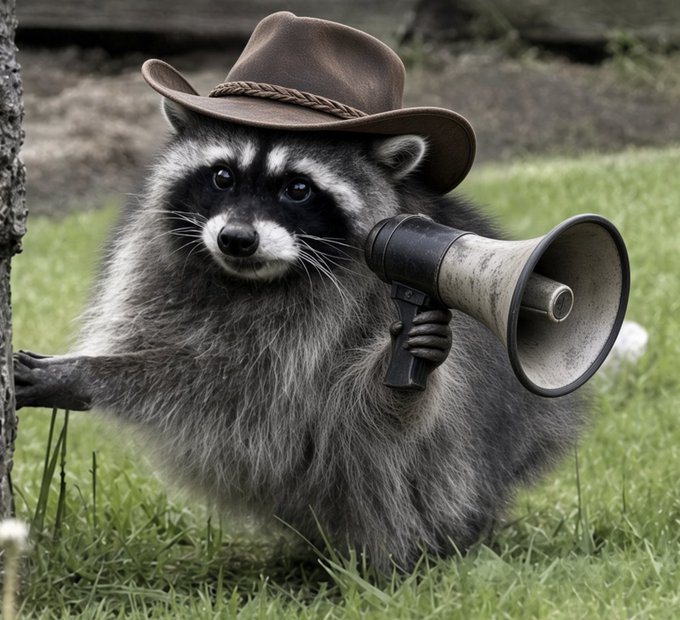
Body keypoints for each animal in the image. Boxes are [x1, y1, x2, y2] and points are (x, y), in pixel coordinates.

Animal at [14, 100, 584, 570]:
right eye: (222, 176)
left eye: (298, 188)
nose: (236, 239)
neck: (251, 282)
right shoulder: (157, 272)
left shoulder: (345, 316)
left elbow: (259, 399)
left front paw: (92, 374)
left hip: (466, 462)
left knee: (402, 450)